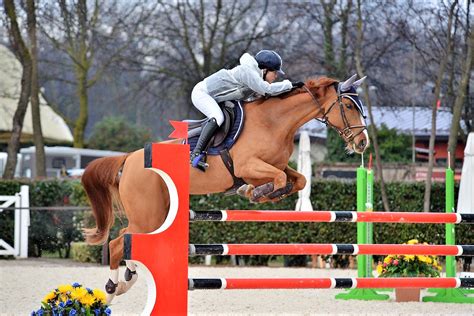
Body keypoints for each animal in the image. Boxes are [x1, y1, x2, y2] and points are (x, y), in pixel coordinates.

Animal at [80, 74, 370, 304]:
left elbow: (298, 180)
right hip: (148, 215)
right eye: (347, 105)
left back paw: (127, 278)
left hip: (158, 214)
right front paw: (255, 194)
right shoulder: (249, 166)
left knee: (126, 240)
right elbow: (277, 179)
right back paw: (112, 288)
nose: (363, 143)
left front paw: (254, 193)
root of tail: (129, 158)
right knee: (119, 242)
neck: (276, 121)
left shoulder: (275, 166)